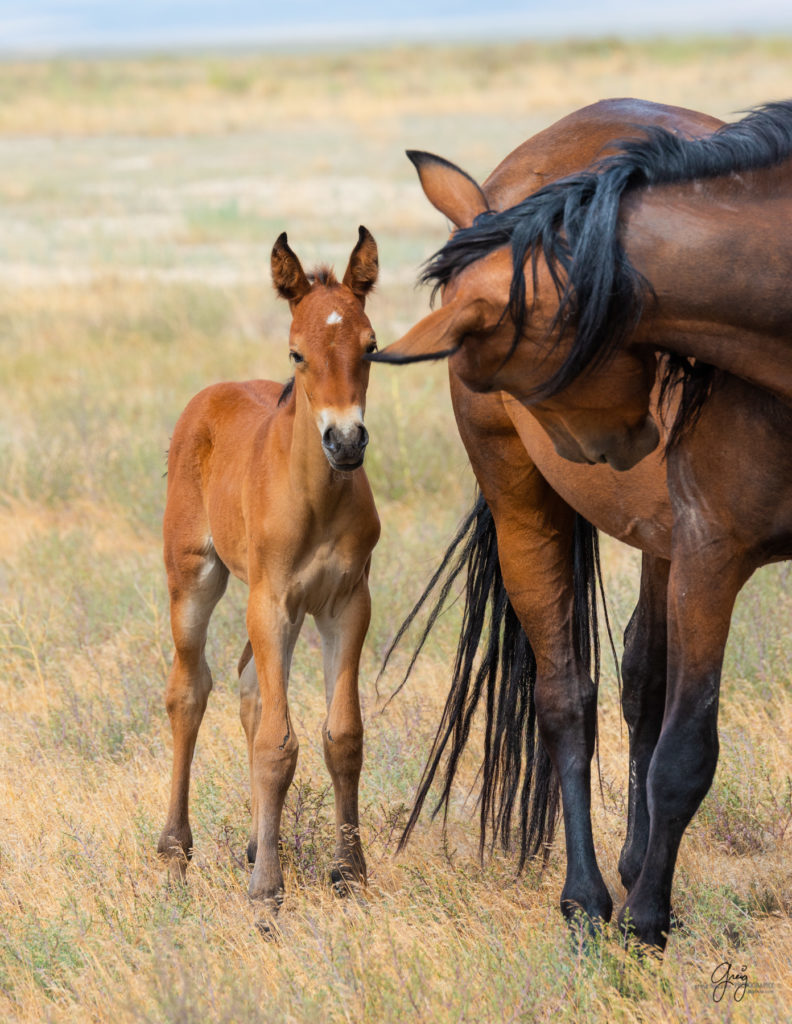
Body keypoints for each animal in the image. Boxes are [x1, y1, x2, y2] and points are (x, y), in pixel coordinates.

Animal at [157, 226, 379, 929]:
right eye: (297, 353)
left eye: (371, 346)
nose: (346, 441)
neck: (316, 498)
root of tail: (210, 394)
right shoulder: (271, 601)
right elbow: (279, 746)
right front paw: (265, 895)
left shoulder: (347, 603)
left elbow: (342, 735)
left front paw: (349, 872)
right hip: (193, 576)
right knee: (190, 690)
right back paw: (174, 851)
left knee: (248, 686)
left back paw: (259, 841)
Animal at [370, 99, 790, 946]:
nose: (620, 449)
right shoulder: (713, 557)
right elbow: (687, 753)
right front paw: (647, 925)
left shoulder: (693, 552)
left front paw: (648, 901)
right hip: (527, 508)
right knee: (569, 698)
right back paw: (591, 899)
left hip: (660, 545)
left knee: (640, 679)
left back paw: (629, 869)